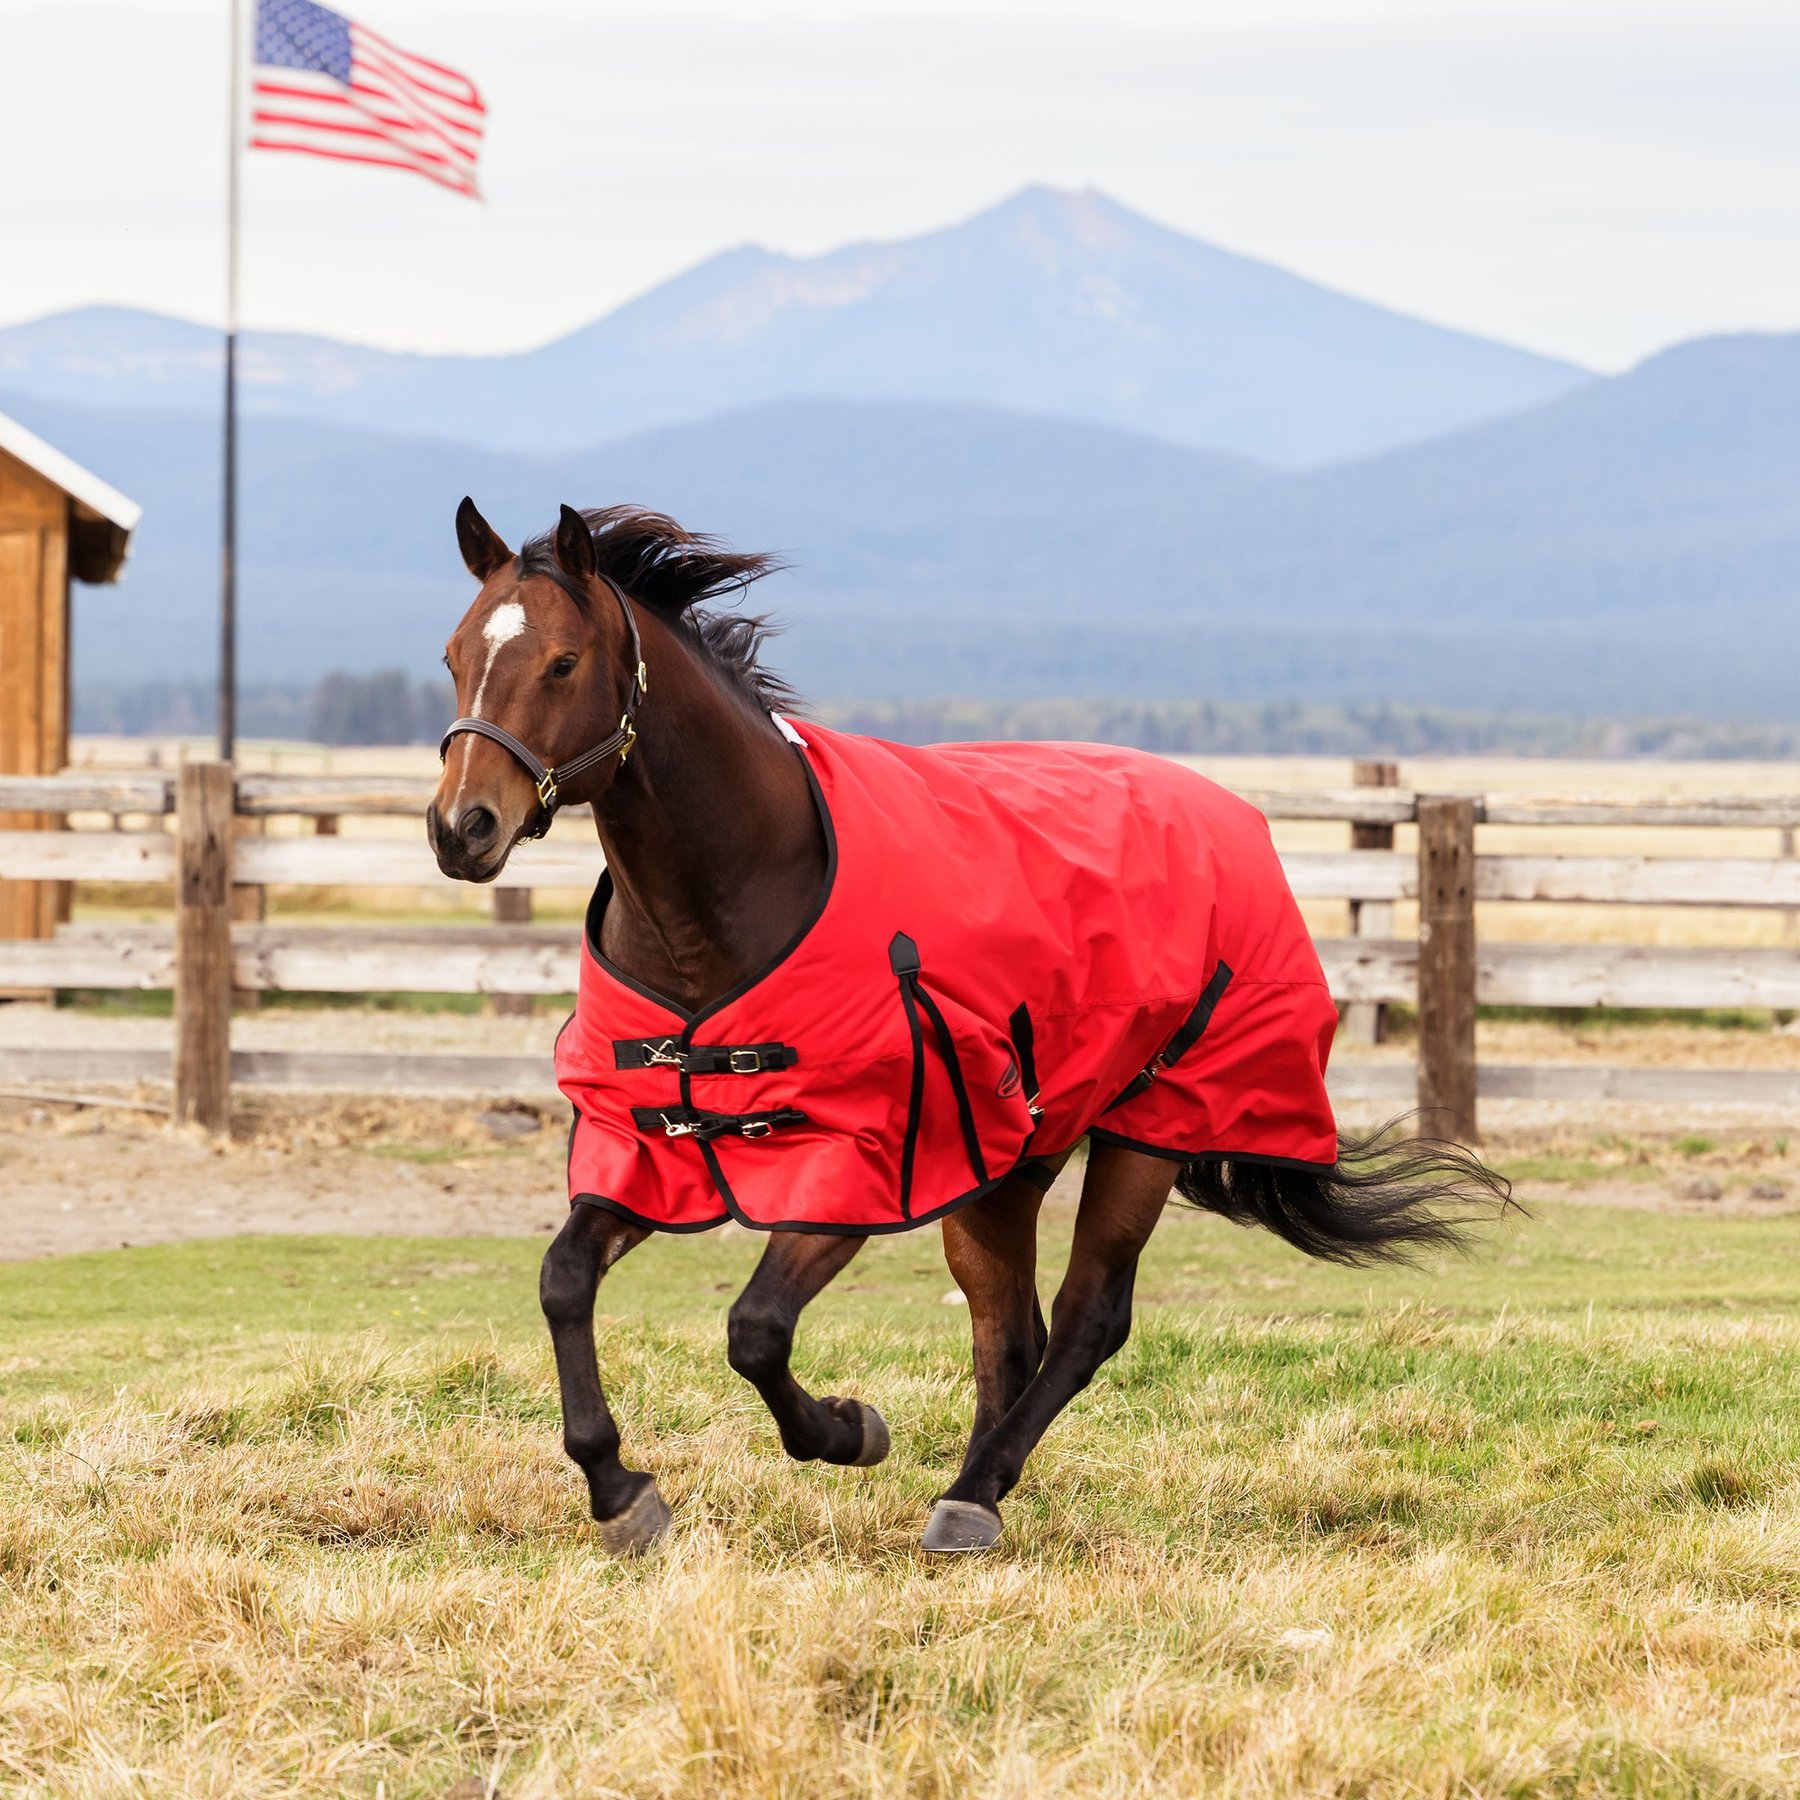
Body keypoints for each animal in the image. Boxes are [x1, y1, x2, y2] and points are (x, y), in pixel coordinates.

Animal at [427, 497, 1511, 1556]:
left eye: (563, 662)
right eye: (452, 654)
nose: (460, 827)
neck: (732, 898)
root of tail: (1230, 815)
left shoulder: (863, 1163)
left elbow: (757, 1329)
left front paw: (848, 1430)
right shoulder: (648, 1148)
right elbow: (565, 1280)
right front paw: (619, 1489)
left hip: (1148, 1133)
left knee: (1085, 1320)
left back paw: (972, 1493)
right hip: (1004, 1166)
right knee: (1010, 1329)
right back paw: (975, 1491)